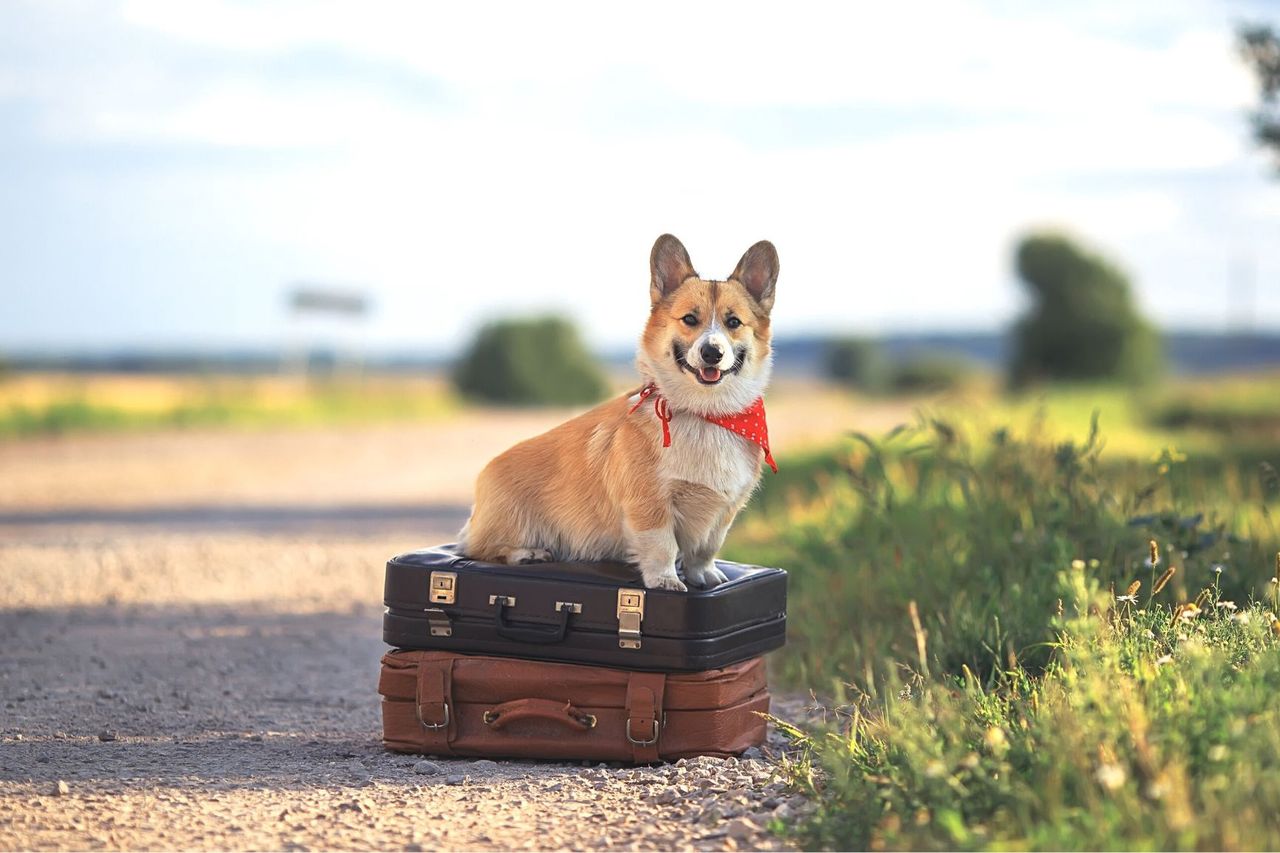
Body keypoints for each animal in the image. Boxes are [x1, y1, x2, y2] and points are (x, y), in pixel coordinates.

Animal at [460, 234, 778, 591]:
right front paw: (665, 580)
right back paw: (527, 554)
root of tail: (482, 481)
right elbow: (663, 546)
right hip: (511, 524)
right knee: (477, 548)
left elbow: (705, 549)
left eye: (733, 322)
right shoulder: (650, 503)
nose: (712, 352)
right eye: (689, 319)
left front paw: (705, 576)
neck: (706, 413)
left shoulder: (724, 511)